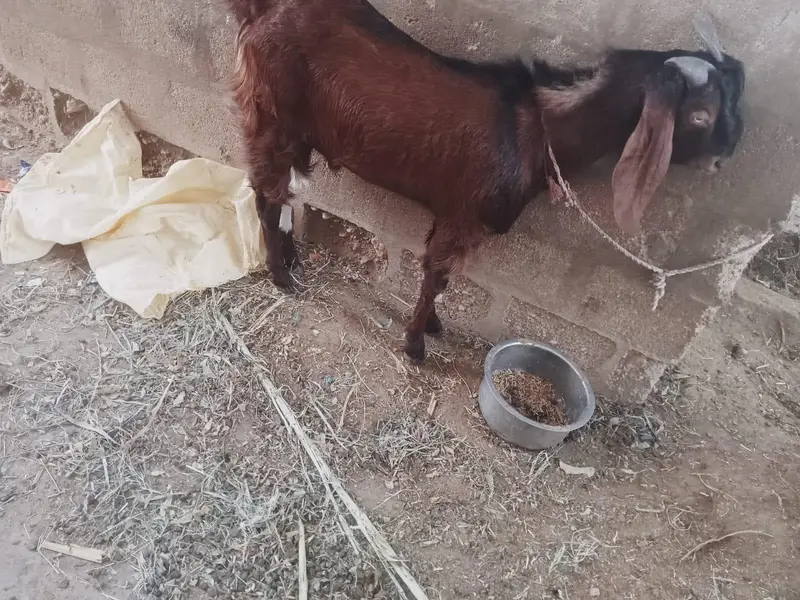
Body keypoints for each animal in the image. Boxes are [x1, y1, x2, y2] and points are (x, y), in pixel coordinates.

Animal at [226, 0, 745, 363]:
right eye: (701, 114)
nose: (727, 155)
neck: (539, 126)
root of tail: (263, 9)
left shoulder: (449, 210)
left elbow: (436, 273)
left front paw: (432, 327)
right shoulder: (466, 215)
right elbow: (438, 275)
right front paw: (416, 346)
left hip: (296, 133)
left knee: (285, 191)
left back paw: (291, 258)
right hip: (272, 118)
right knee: (266, 195)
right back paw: (281, 276)